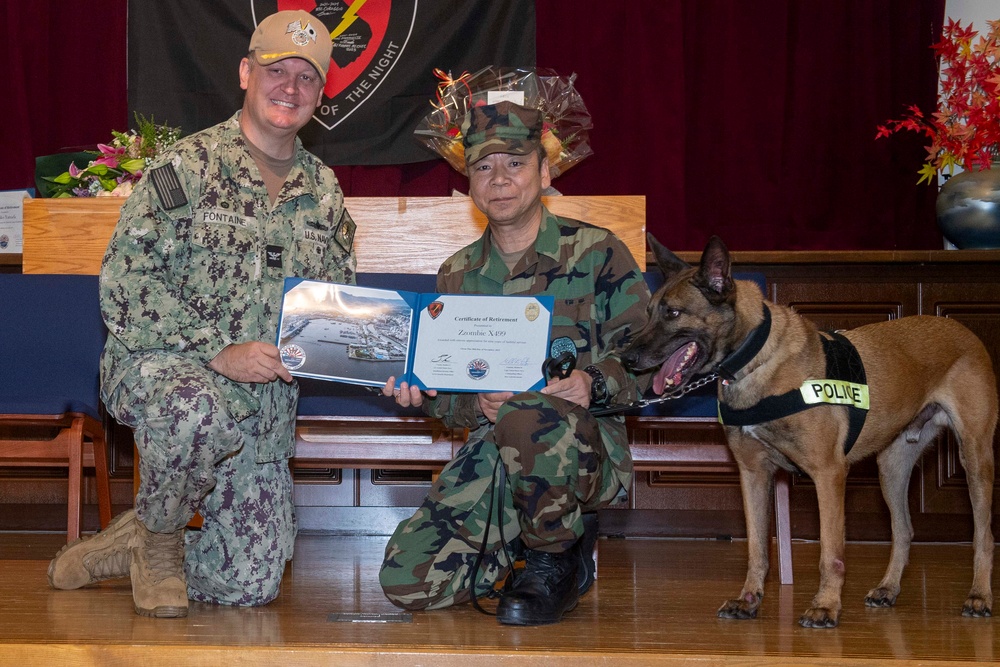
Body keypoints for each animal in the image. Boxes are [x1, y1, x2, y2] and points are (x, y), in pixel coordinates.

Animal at [624, 234, 1000, 628]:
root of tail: (961, 329)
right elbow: (757, 548)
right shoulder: (753, 475)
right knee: (903, 530)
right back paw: (888, 588)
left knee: (983, 536)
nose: (626, 358)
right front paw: (749, 600)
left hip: (975, 459)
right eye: (649, 311)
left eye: (672, 313)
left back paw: (979, 596)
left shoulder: (828, 474)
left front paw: (826, 605)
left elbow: (830, 551)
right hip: (892, 468)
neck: (755, 362)